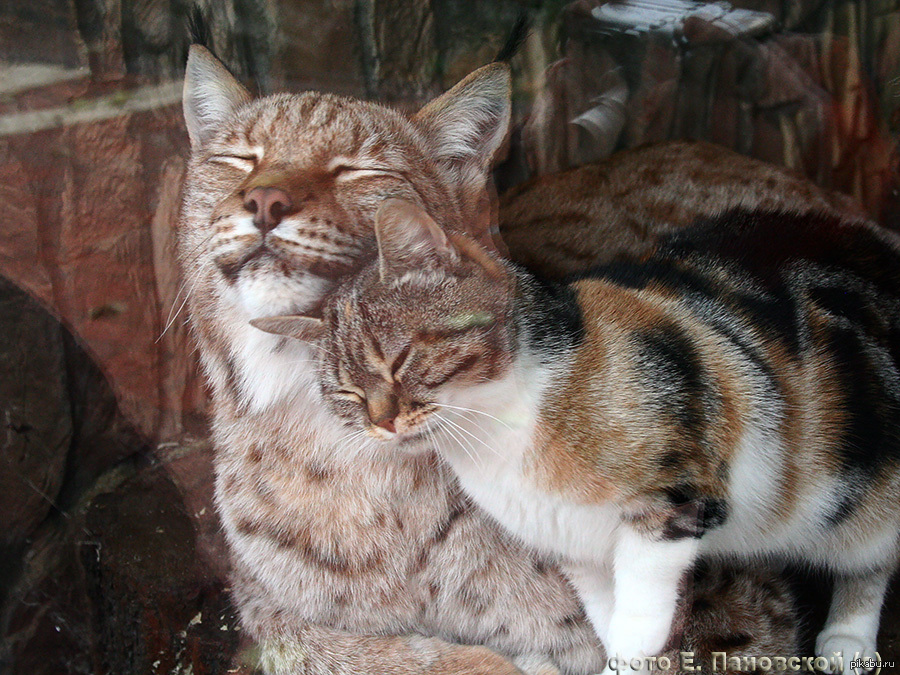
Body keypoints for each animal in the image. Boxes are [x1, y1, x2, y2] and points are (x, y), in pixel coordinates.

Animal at [255, 198, 900, 672]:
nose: (381, 421)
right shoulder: (572, 540)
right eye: (346, 394)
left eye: (399, 360)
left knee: (869, 557)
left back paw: (847, 641)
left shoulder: (671, 501)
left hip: (859, 495)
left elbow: (640, 613)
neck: (500, 432)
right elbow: (604, 613)